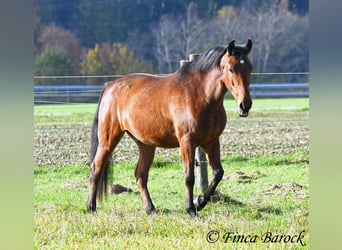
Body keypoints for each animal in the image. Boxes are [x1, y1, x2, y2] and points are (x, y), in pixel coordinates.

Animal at [87, 39, 252, 217]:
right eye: (231, 69)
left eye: (250, 67)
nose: (245, 105)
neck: (200, 95)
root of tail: (110, 86)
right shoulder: (187, 142)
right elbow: (189, 177)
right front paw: (191, 209)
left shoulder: (211, 142)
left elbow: (218, 172)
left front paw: (200, 201)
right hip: (108, 139)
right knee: (96, 168)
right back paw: (91, 207)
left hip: (145, 144)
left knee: (140, 175)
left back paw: (150, 209)